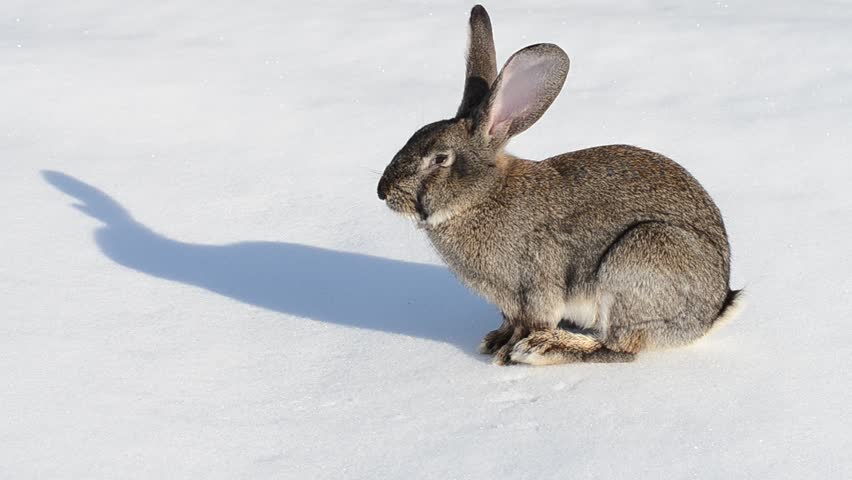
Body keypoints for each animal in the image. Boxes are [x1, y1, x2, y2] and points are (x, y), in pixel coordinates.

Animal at [377, 5, 742, 365]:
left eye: (440, 159)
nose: (383, 192)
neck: (481, 196)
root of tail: (713, 310)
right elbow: (511, 323)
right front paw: (496, 341)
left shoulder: (535, 284)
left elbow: (534, 318)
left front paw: (509, 351)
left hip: (640, 259)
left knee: (617, 347)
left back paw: (545, 348)